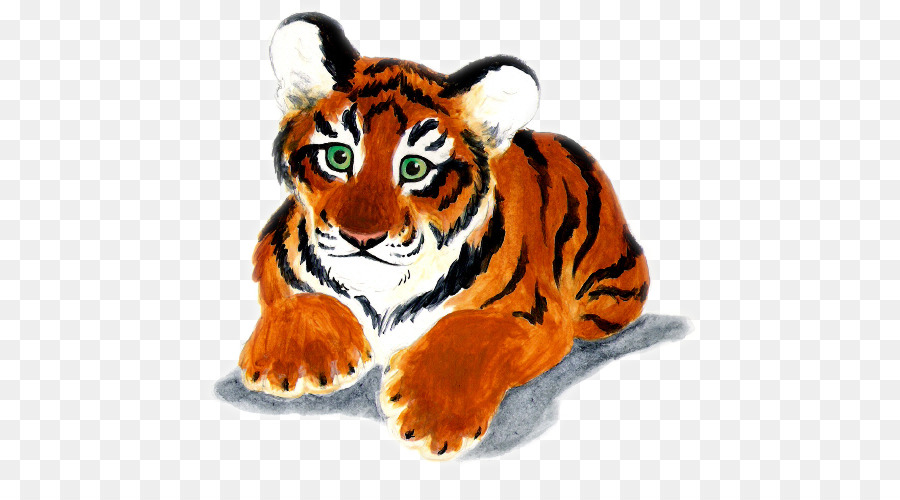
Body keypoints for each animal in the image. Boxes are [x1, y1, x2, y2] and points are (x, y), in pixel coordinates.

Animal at [238, 12, 650, 459]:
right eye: (338, 157)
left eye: (415, 168)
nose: (361, 236)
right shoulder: (275, 245)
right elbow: (297, 296)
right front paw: (295, 360)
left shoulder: (534, 313)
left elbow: (471, 333)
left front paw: (430, 412)